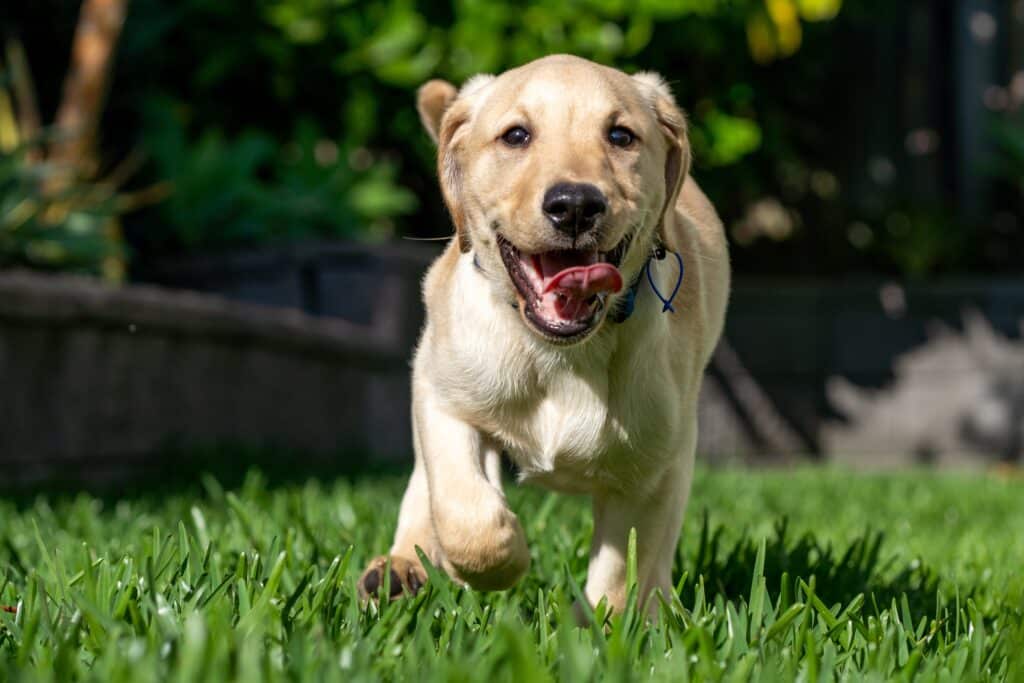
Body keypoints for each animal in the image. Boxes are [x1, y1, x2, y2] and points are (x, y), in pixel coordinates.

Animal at [360, 53, 729, 614]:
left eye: (620, 136)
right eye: (516, 135)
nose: (575, 204)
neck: (560, 354)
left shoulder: (650, 467)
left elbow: (623, 570)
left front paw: (601, 623)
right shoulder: (442, 398)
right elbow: (466, 512)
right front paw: (493, 563)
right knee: (425, 486)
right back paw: (401, 566)